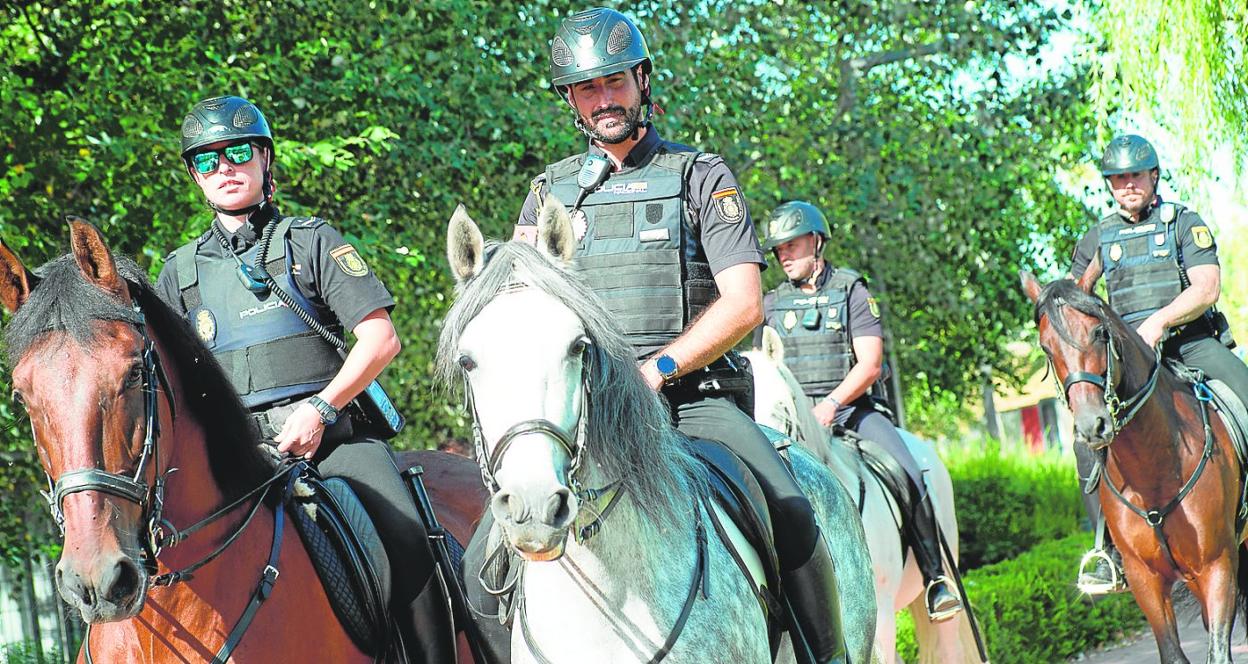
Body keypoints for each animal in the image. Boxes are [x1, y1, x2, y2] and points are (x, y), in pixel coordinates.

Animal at [1023, 270, 1248, 664]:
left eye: (1099, 332)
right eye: (1046, 347)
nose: (1092, 426)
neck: (1153, 467)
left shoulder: (1218, 566)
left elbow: (1219, 652)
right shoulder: (1146, 579)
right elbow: (1173, 653)